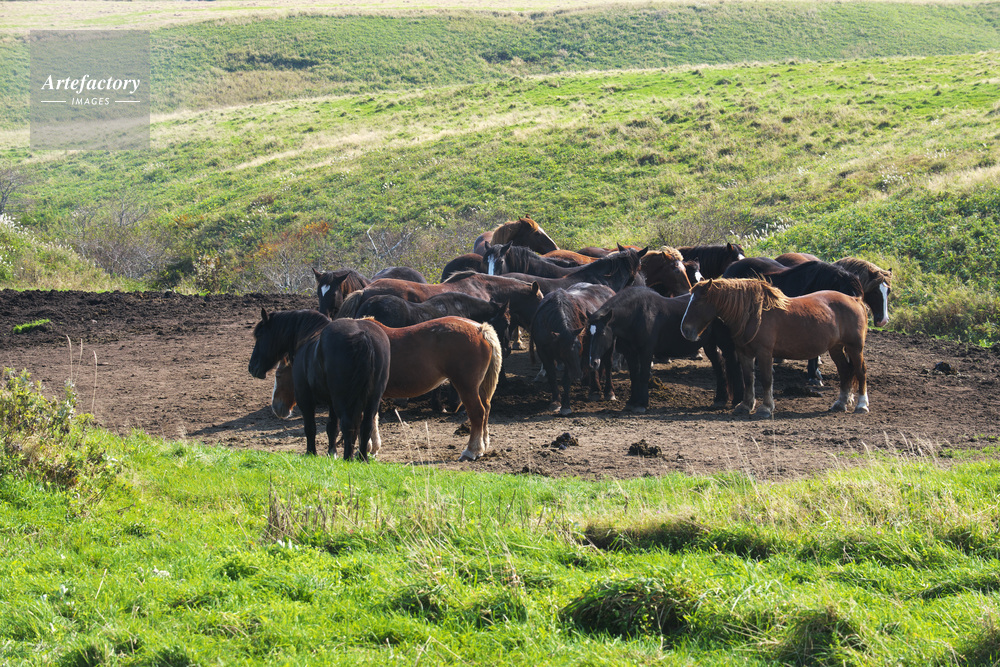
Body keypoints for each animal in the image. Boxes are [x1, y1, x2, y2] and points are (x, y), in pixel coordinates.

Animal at [248, 309, 389, 460]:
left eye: (260, 335)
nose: (251, 367)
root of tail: (363, 336)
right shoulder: (331, 402)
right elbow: (332, 428)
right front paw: (332, 453)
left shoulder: (305, 399)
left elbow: (310, 427)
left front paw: (311, 453)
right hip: (372, 399)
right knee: (366, 426)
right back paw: (363, 458)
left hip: (344, 400)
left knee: (348, 424)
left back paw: (348, 458)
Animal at [272, 316, 503, 462]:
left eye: (278, 374)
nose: (277, 408)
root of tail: (480, 329)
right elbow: (372, 419)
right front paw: (372, 449)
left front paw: (367, 450)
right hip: (479, 388)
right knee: (486, 411)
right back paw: (482, 447)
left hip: (466, 387)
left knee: (477, 413)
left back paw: (471, 451)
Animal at [529, 283, 616, 415]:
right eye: (563, 350)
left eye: (579, 346)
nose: (577, 374)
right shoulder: (544, 353)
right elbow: (552, 377)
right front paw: (556, 402)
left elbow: (566, 379)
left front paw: (566, 406)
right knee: (594, 366)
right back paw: (594, 390)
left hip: (610, 346)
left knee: (608, 364)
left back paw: (609, 391)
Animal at [586, 287, 738, 413]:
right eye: (588, 333)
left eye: (602, 333)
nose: (593, 363)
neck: (635, 315)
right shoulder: (630, 353)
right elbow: (634, 375)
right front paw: (632, 402)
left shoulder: (646, 352)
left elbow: (644, 375)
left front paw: (642, 404)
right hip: (710, 345)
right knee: (719, 367)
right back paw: (720, 399)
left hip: (725, 343)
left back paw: (736, 400)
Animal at [680, 278, 869, 417]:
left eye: (697, 303)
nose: (685, 330)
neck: (752, 315)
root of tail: (855, 300)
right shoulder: (744, 353)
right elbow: (748, 379)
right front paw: (746, 405)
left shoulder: (764, 353)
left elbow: (766, 379)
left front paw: (766, 408)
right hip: (836, 347)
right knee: (845, 371)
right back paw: (840, 403)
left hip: (854, 347)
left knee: (860, 372)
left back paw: (862, 405)